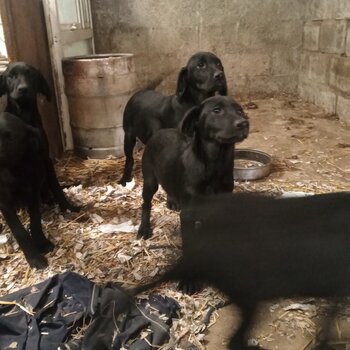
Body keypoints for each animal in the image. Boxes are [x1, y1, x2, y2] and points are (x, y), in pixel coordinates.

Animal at [0, 61, 78, 212]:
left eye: (31, 75)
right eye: (10, 76)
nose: (23, 89)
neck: (24, 115)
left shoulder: (45, 158)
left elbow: (56, 187)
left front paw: (67, 206)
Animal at [0, 112, 54, 268]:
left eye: (11, 138)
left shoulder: (33, 194)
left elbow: (35, 221)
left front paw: (42, 243)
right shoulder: (4, 203)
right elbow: (20, 232)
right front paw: (34, 258)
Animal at [118, 51, 227, 186]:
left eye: (218, 63)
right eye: (200, 65)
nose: (220, 75)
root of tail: (137, 93)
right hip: (128, 136)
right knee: (129, 159)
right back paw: (124, 179)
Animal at [137, 94, 249, 239]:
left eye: (239, 111)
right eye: (216, 110)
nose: (244, 123)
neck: (216, 164)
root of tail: (160, 131)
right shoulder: (188, 214)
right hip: (149, 180)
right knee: (146, 204)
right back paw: (144, 228)